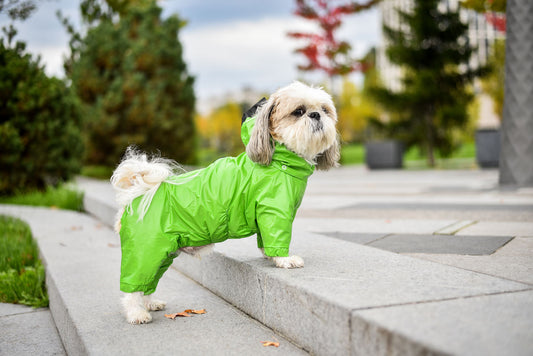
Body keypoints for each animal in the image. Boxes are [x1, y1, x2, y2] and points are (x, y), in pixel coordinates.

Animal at [110, 81, 338, 326]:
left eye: (324, 110)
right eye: (299, 111)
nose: (316, 115)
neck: (279, 161)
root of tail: (136, 197)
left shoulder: (265, 214)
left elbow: (264, 240)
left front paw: (269, 255)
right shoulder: (274, 211)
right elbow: (277, 236)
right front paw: (284, 259)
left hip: (163, 253)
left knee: (148, 283)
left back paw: (151, 303)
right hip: (146, 251)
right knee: (133, 288)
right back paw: (136, 313)